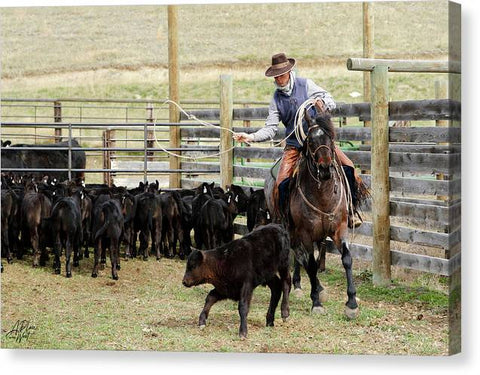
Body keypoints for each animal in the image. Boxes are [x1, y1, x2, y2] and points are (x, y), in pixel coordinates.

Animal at [264, 111, 358, 320]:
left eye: (330, 138)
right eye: (310, 141)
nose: (324, 169)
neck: (322, 195)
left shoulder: (339, 228)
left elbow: (346, 259)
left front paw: (351, 303)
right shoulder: (305, 233)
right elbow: (312, 265)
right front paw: (316, 302)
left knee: (302, 257)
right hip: (288, 229)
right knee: (301, 257)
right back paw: (302, 286)